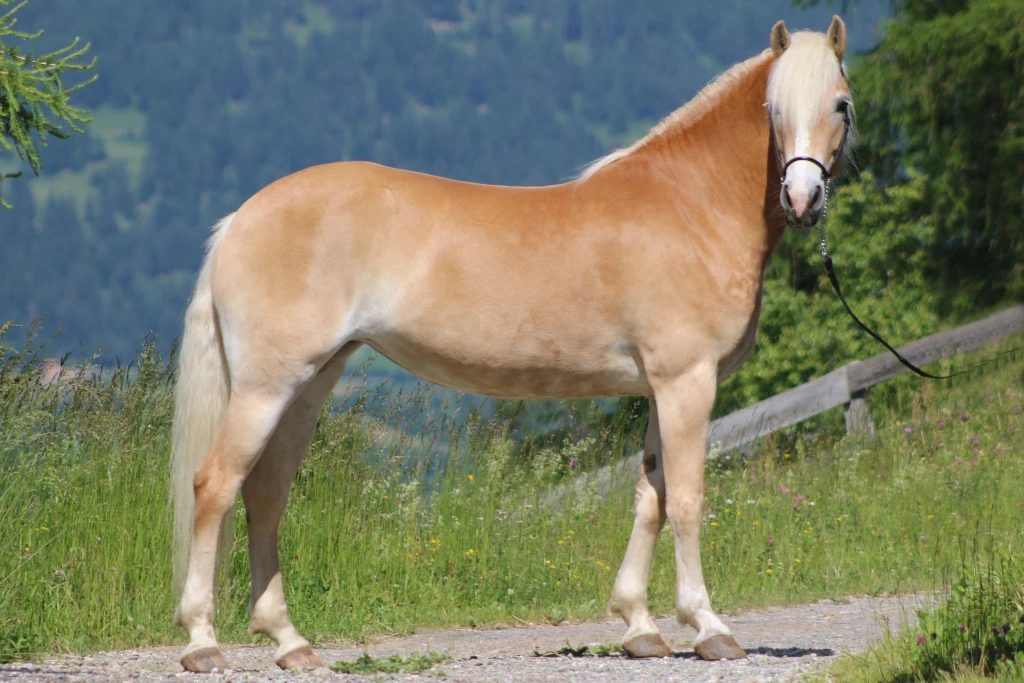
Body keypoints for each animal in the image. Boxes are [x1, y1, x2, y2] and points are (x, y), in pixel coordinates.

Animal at [170, 16, 853, 672]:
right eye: (773, 107)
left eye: (841, 104)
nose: (802, 199)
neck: (690, 206)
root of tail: (242, 218)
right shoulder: (688, 381)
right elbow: (685, 500)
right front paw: (709, 627)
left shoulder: (662, 388)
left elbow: (649, 498)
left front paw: (639, 627)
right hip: (266, 387)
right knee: (216, 486)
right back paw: (203, 641)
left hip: (310, 384)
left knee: (266, 495)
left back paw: (290, 642)